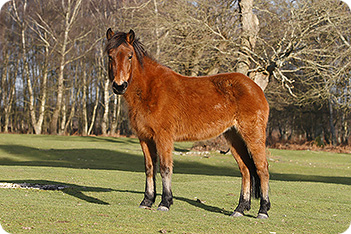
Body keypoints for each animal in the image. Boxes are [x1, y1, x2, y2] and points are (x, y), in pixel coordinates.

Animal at [106, 28, 270, 218]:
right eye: (110, 55)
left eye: (130, 56)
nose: (119, 86)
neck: (150, 89)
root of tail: (255, 88)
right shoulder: (144, 138)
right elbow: (149, 168)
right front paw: (147, 201)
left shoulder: (163, 137)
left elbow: (165, 168)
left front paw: (165, 203)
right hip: (234, 137)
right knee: (246, 170)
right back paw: (240, 209)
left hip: (253, 134)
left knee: (262, 168)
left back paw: (263, 210)